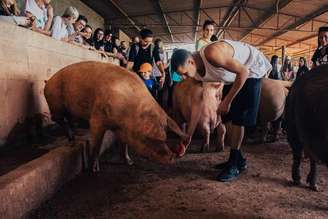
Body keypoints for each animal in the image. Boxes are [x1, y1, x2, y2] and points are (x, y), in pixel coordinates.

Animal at [44, 60, 187, 172]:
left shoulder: (123, 129)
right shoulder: (97, 118)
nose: (172, 157)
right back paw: (72, 138)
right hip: (55, 103)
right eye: (148, 139)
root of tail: (48, 80)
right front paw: (94, 169)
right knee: (56, 118)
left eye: (164, 136)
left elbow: (124, 145)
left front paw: (130, 162)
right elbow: (97, 144)